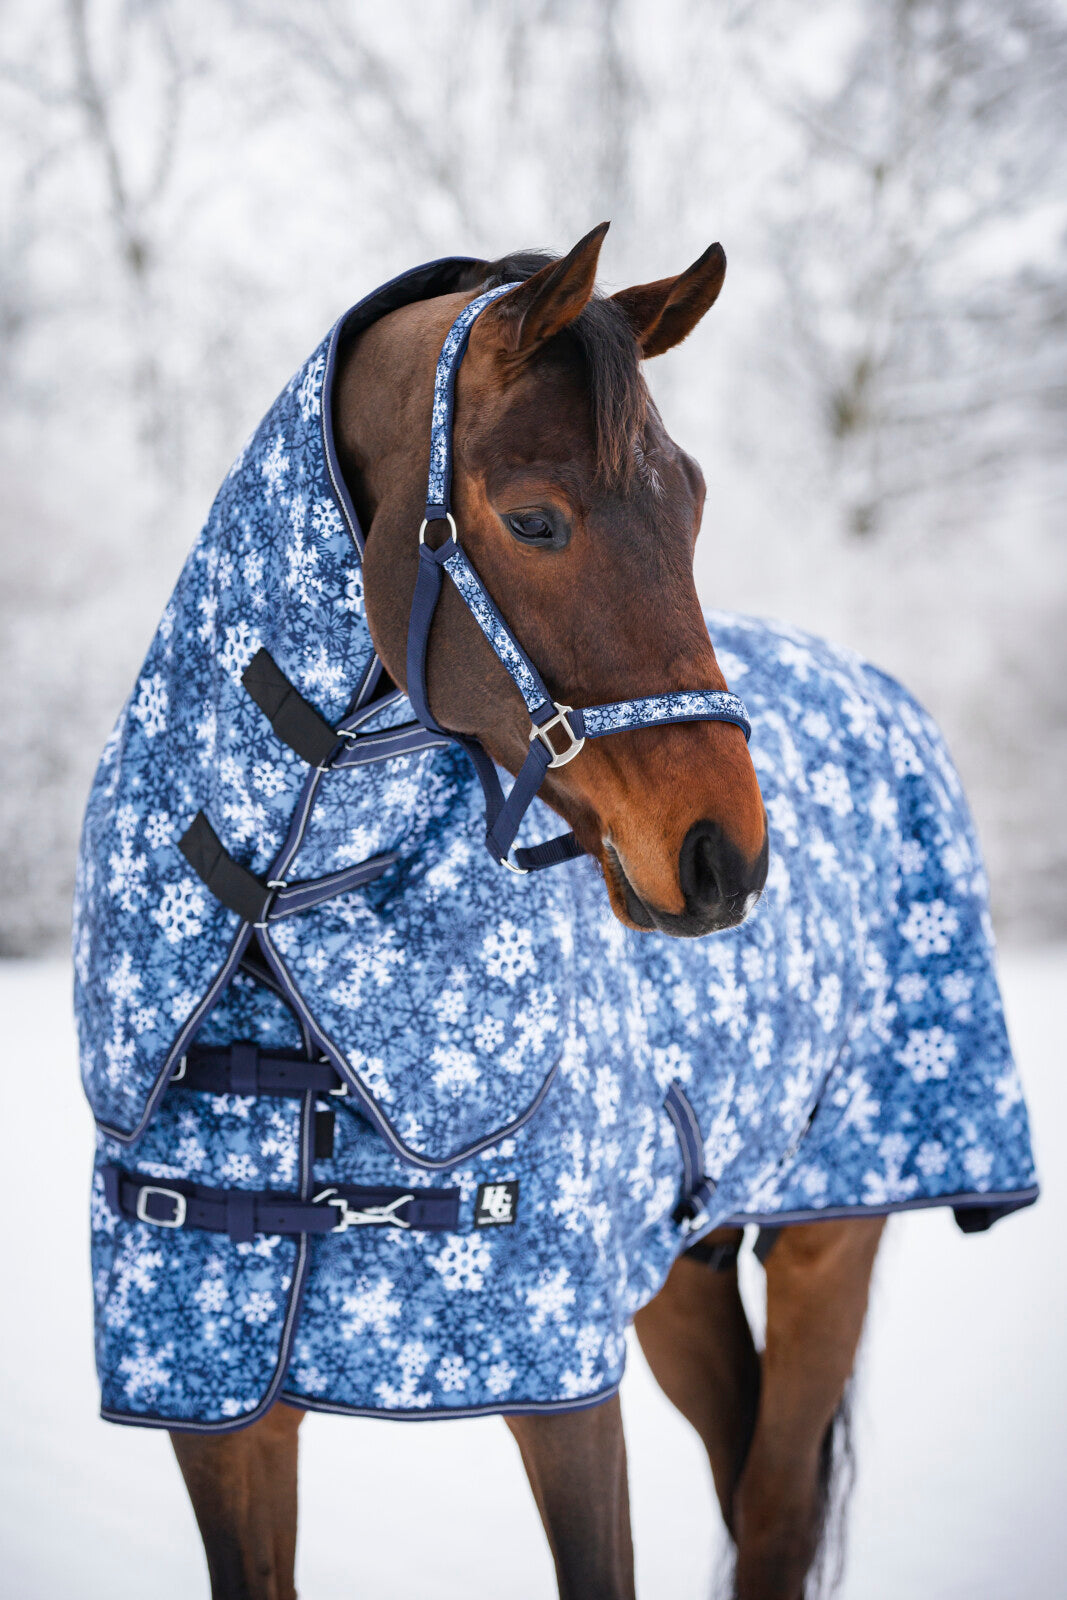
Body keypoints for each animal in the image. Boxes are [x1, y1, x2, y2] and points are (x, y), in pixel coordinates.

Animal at [76, 225, 1036, 1600]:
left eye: (691, 503)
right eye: (534, 518)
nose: (723, 856)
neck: (276, 937)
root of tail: (879, 687)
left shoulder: (565, 1394)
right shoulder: (216, 1417)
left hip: (831, 1236)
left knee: (774, 1508)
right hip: (676, 1272)